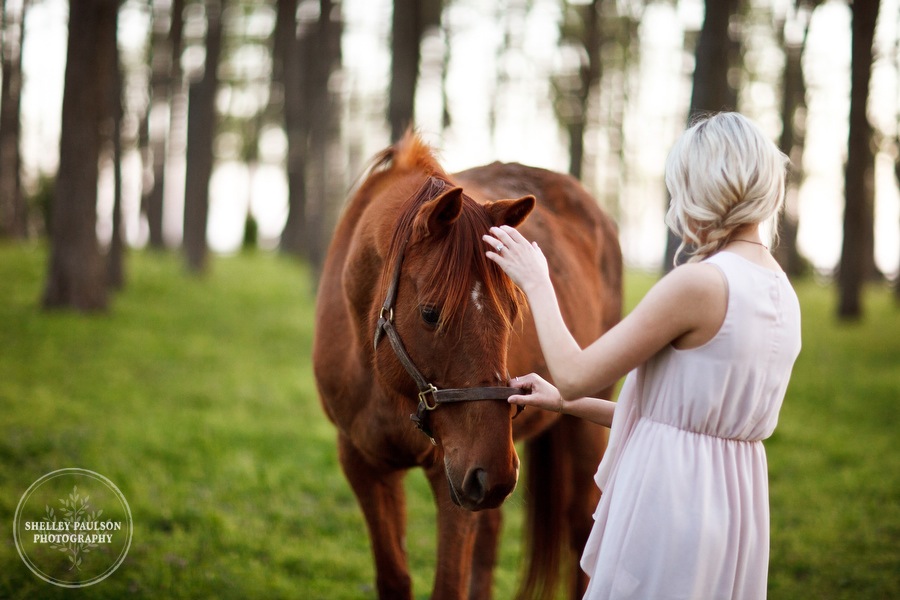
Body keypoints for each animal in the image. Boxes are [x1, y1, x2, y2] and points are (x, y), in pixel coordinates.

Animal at [312, 132, 624, 600]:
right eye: (430, 313)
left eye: (513, 312)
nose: (494, 475)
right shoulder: (363, 463)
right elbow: (394, 579)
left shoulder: (452, 479)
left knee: (580, 531)